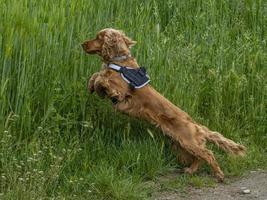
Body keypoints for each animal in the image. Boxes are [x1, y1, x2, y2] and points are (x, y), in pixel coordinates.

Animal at [82, 27, 247, 181]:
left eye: (98, 37)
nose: (82, 44)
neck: (119, 61)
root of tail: (195, 124)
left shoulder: (119, 90)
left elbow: (101, 77)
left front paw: (95, 85)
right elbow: (96, 75)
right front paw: (91, 86)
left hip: (188, 141)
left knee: (208, 154)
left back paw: (219, 174)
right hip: (181, 144)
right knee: (199, 157)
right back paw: (191, 170)